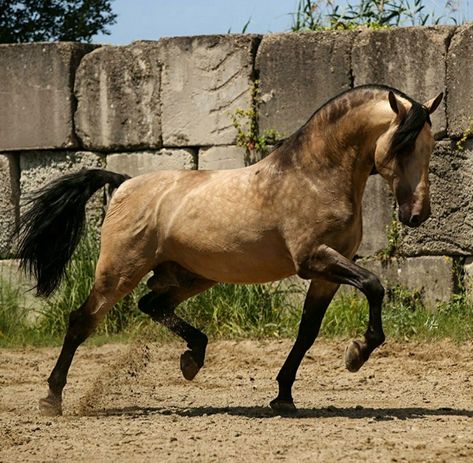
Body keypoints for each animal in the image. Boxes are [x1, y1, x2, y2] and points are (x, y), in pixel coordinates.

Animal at [15, 83, 442, 416]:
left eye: (430, 147)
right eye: (403, 146)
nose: (417, 215)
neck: (314, 177)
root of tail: (124, 183)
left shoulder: (329, 273)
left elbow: (307, 332)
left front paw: (284, 396)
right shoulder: (314, 260)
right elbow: (373, 285)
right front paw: (357, 353)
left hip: (192, 275)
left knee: (151, 304)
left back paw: (192, 357)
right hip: (119, 271)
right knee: (82, 321)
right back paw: (52, 399)